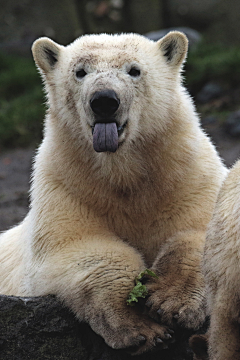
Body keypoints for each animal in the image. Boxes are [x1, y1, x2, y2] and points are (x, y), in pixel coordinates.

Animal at [0, 31, 227, 354]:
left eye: (134, 70)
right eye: (80, 72)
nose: (104, 101)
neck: (121, 171)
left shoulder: (190, 178)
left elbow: (201, 232)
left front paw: (172, 301)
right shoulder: (66, 186)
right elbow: (82, 249)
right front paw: (141, 327)